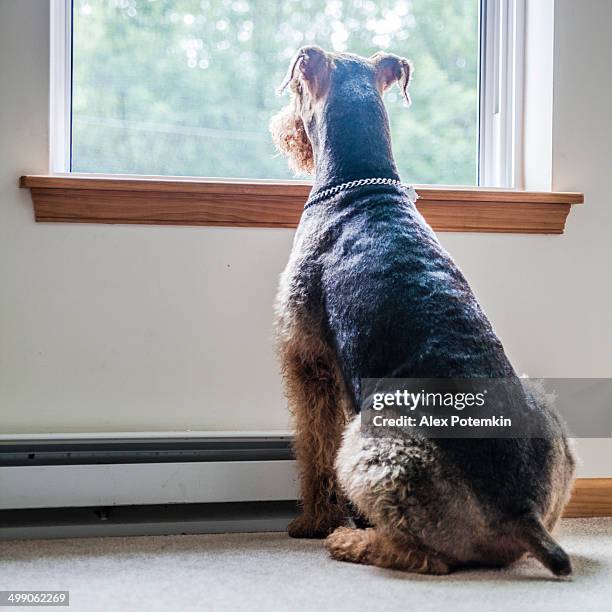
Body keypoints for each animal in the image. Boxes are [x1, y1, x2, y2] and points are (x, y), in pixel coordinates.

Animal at [270, 46, 576, 572]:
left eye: (297, 88)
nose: (281, 128)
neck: (361, 183)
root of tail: (521, 511)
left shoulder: (307, 359)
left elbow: (313, 445)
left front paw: (314, 521)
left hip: (372, 442)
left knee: (422, 556)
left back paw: (349, 540)